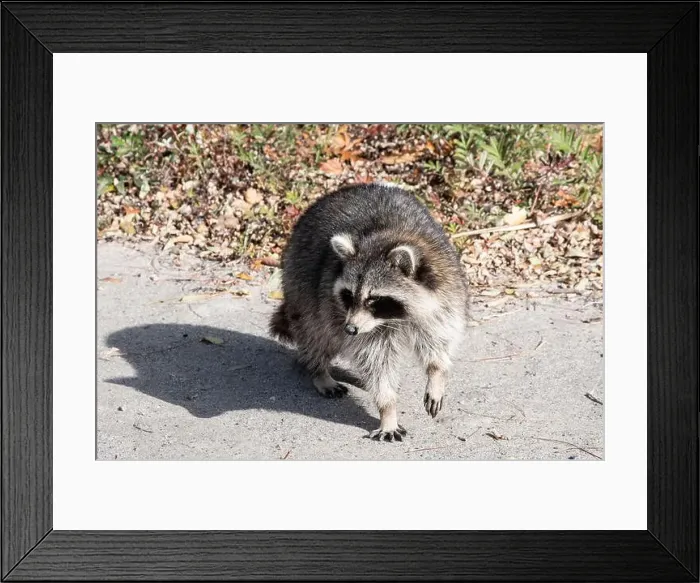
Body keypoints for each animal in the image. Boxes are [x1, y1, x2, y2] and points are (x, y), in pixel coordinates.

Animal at [269, 183, 469, 441]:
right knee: (316, 333)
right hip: (301, 281)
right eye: (349, 295)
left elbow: (438, 339)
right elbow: (376, 362)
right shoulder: (359, 323)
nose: (350, 329)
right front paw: (388, 409)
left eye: (374, 299)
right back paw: (319, 370)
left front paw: (436, 373)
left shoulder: (445, 295)